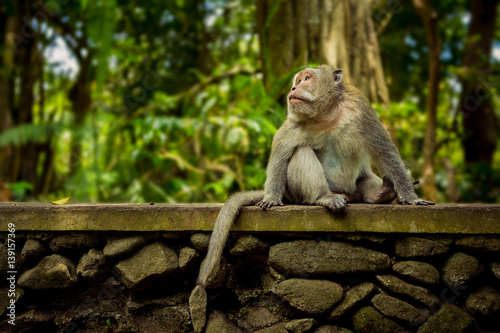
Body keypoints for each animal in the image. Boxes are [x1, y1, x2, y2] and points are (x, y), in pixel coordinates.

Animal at [189, 64, 432, 330]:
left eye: (306, 78)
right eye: (297, 81)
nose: (294, 88)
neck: (326, 115)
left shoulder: (361, 111)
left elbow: (385, 152)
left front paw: (410, 197)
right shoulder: (294, 122)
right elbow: (281, 153)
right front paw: (271, 197)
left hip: (356, 187)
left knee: (365, 180)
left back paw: (381, 193)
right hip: (296, 191)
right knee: (302, 151)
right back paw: (324, 197)